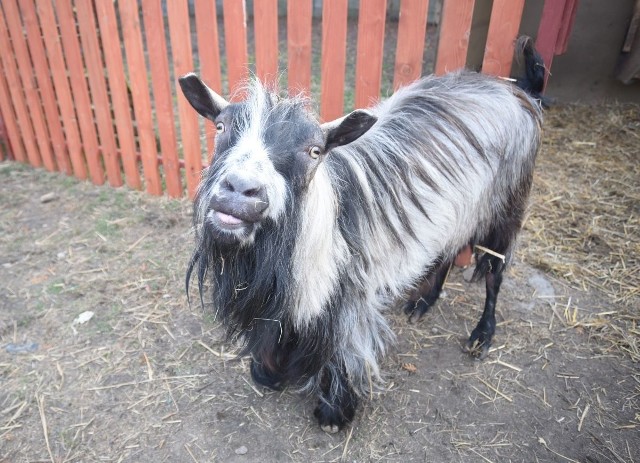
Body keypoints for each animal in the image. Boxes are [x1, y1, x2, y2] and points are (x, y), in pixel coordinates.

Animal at [180, 38, 544, 434]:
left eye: (315, 151)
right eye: (219, 127)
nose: (240, 190)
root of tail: (518, 88)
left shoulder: (350, 296)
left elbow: (346, 349)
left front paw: (334, 412)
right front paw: (268, 373)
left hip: (507, 206)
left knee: (494, 271)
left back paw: (481, 335)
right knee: (447, 250)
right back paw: (423, 302)